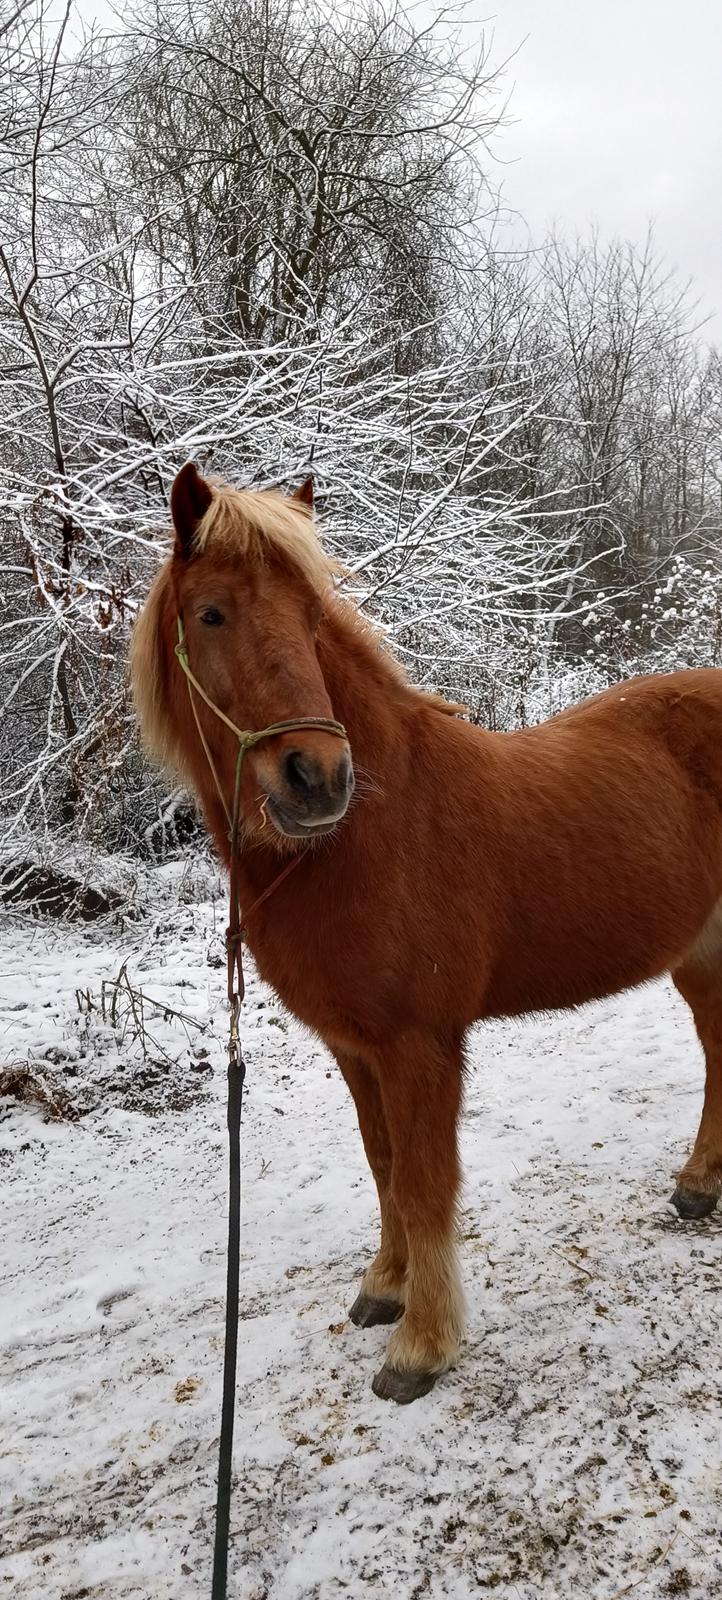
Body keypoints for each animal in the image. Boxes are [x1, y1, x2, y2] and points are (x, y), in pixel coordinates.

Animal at [132, 460, 722, 1401]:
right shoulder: (355, 1046)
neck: (367, 832)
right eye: (212, 613)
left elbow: (425, 1180)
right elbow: (385, 1166)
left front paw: (423, 1345)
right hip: (699, 952)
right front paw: (385, 1287)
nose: (316, 777)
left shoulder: (420, 1045)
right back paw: (700, 1185)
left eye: (311, 616)